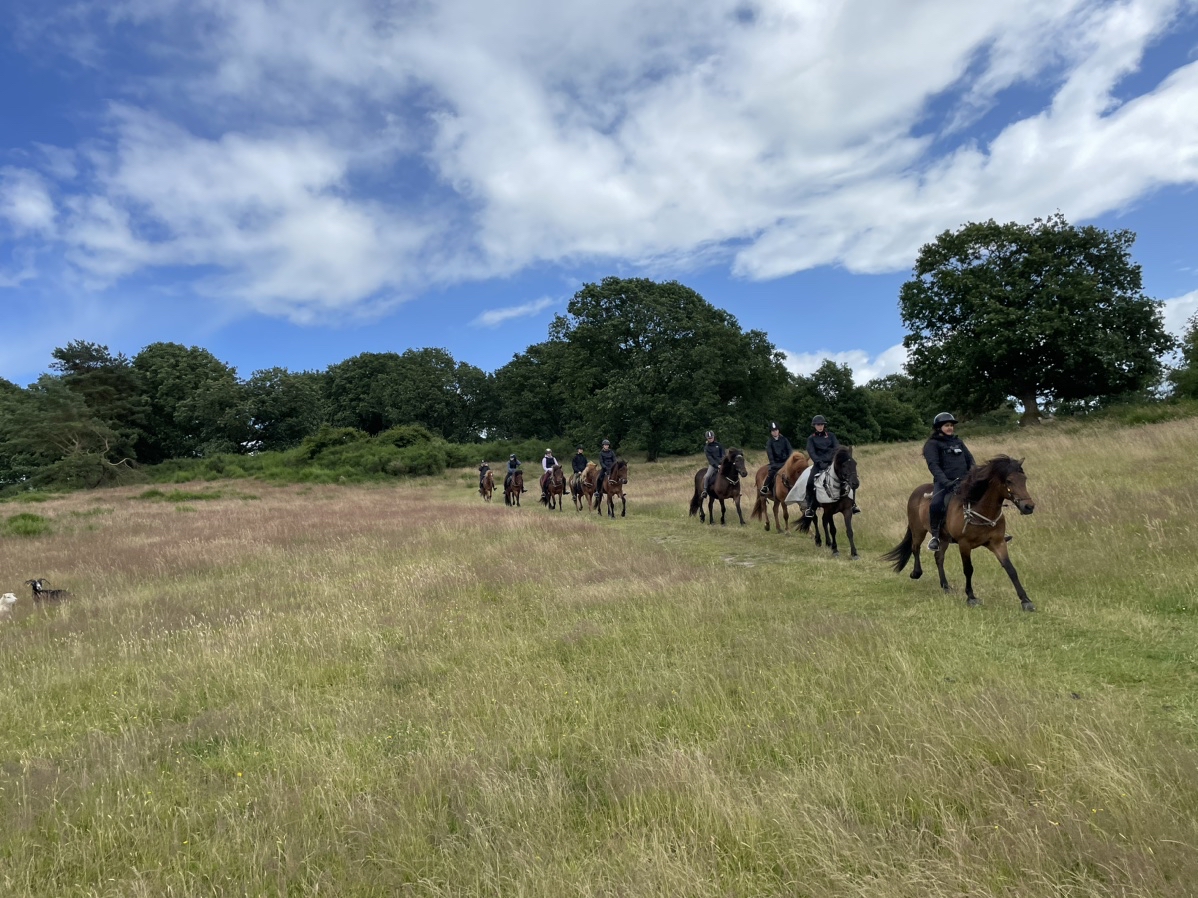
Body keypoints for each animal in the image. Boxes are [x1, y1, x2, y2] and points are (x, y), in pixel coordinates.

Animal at [881, 457, 1039, 613]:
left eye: (1024, 479)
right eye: (1009, 481)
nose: (1029, 507)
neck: (980, 510)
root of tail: (916, 491)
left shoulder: (998, 543)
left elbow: (1010, 568)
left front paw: (1026, 600)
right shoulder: (964, 544)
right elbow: (968, 569)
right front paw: (971, 597)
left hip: (943, 538)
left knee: (939, 557)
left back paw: (945, 586)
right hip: (918, 531)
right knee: (915, 548)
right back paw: (916, 573)